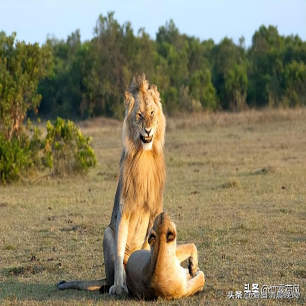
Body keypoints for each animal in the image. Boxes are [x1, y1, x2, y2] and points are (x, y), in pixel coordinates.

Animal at [58, 73, 166, 294]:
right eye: (139, 115)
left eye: (152, 113)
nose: (148, 130)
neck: (144, 157)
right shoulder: (123, 211)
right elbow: (118, 252)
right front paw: (119, 286)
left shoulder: (155, 211)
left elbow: (147, 245)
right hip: (107, 232)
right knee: (111, 270)